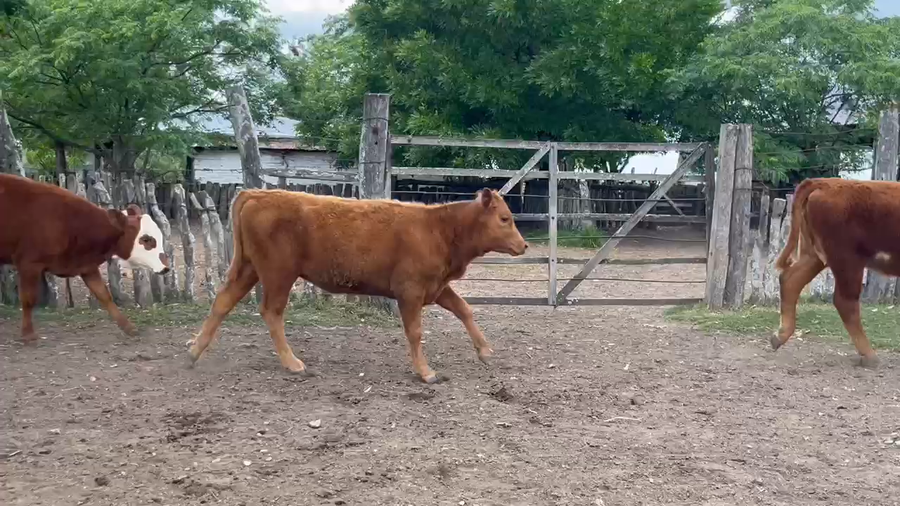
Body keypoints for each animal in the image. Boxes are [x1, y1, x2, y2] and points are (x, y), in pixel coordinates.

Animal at [0, 173, 170, 341]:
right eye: (146, 239)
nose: (166, 268)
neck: (70, 223)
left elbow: (104, 295)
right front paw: (28, 334)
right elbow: (28, 299)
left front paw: (128, 327)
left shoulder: (87, 266)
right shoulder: (29, 264)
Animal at [188, 188, 528, 383]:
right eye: (504, 218)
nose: (524, 245)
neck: (439, 228)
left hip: (248, 268)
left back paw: (195, 350)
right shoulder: (410, 291)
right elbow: (415, 332)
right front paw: (425, 372)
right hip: (278, 273)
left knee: (223, 301)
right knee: (271, 311)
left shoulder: (437, 287)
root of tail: (258, 193)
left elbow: (464, 309)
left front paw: (484, 350)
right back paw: (293, 363)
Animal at [773, 177, 900, 368]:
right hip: (847, 259)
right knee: (845, 302)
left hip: (814, 255)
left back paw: (779, 336)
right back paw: (870, 356)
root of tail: (825, 182)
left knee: (790, 280)